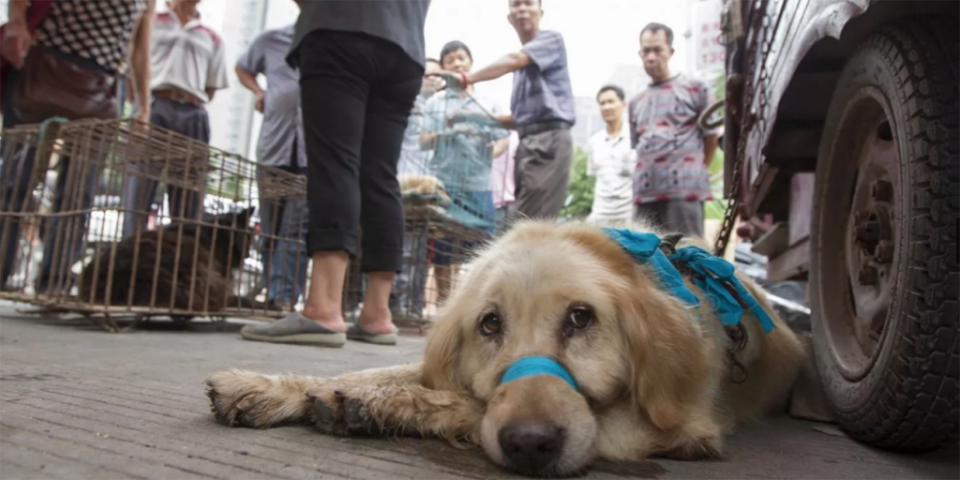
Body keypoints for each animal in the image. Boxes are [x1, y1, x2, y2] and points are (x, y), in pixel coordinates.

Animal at [206, 220, 808, 476]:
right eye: (489, 324)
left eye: (581, 318)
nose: (529, 445)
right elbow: (387, 369)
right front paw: (272, 387)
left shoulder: (680, 428)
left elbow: (468, 403)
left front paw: (374, 404)